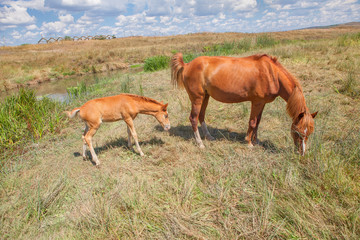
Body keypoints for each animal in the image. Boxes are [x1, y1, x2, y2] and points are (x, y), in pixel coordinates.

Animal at [172, 53, 318, 156]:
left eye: (309, 132)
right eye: (297, 131)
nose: (301, 153)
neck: (272, 74)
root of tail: (187, 65)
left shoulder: (262, 103)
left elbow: (258, 122)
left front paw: (256, 140)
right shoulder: (257, 102)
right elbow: (252, 122)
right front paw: (249, 142)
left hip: (205, 97)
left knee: (201, 116)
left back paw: (209, 137)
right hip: (197, 98)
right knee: (193, 118)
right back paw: (200, 143)